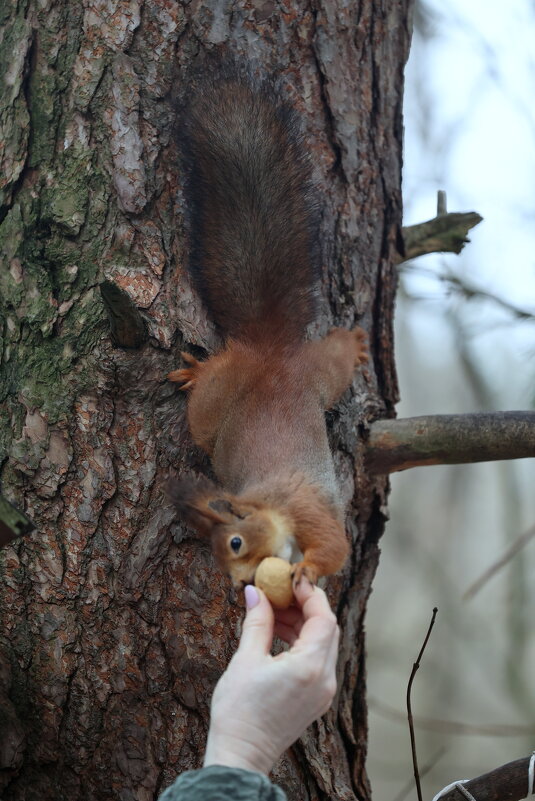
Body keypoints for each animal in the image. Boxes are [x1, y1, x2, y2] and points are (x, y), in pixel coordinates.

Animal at [168, 75, 368, 588]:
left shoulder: (308, 509)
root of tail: (269, 351)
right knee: (331, 357)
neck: (268, 501)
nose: (241, 585)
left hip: (240, 391)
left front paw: (307, 571)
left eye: (236, 542)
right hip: (312, 375)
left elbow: (334, 547)